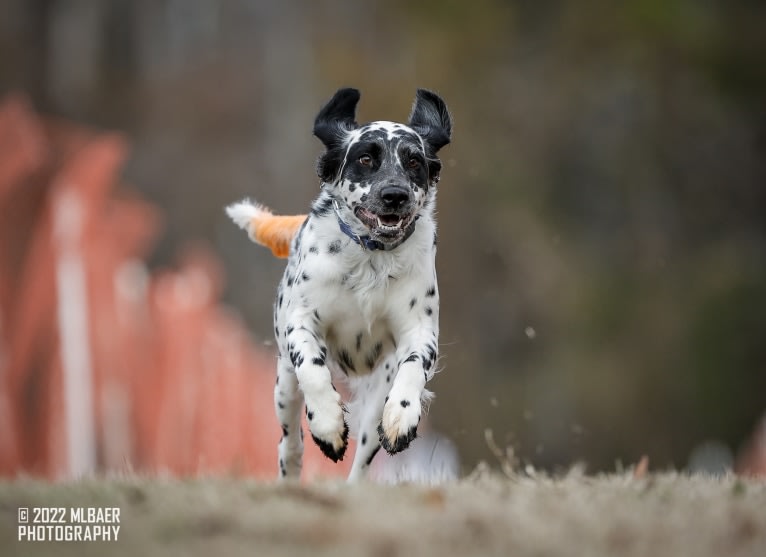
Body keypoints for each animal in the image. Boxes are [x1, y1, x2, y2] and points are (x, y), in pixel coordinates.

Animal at [231, 87, 452, 478]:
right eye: (365, 158)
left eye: (414, 162)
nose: (395, 195)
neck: (371, 259)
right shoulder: (301, 323)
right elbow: (313, 370)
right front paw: (328, 426)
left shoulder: (420, 330)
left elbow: (414, 367)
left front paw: (403, 417)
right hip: (283, 385)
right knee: (289, 440)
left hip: (376, 396)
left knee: (362, 460)